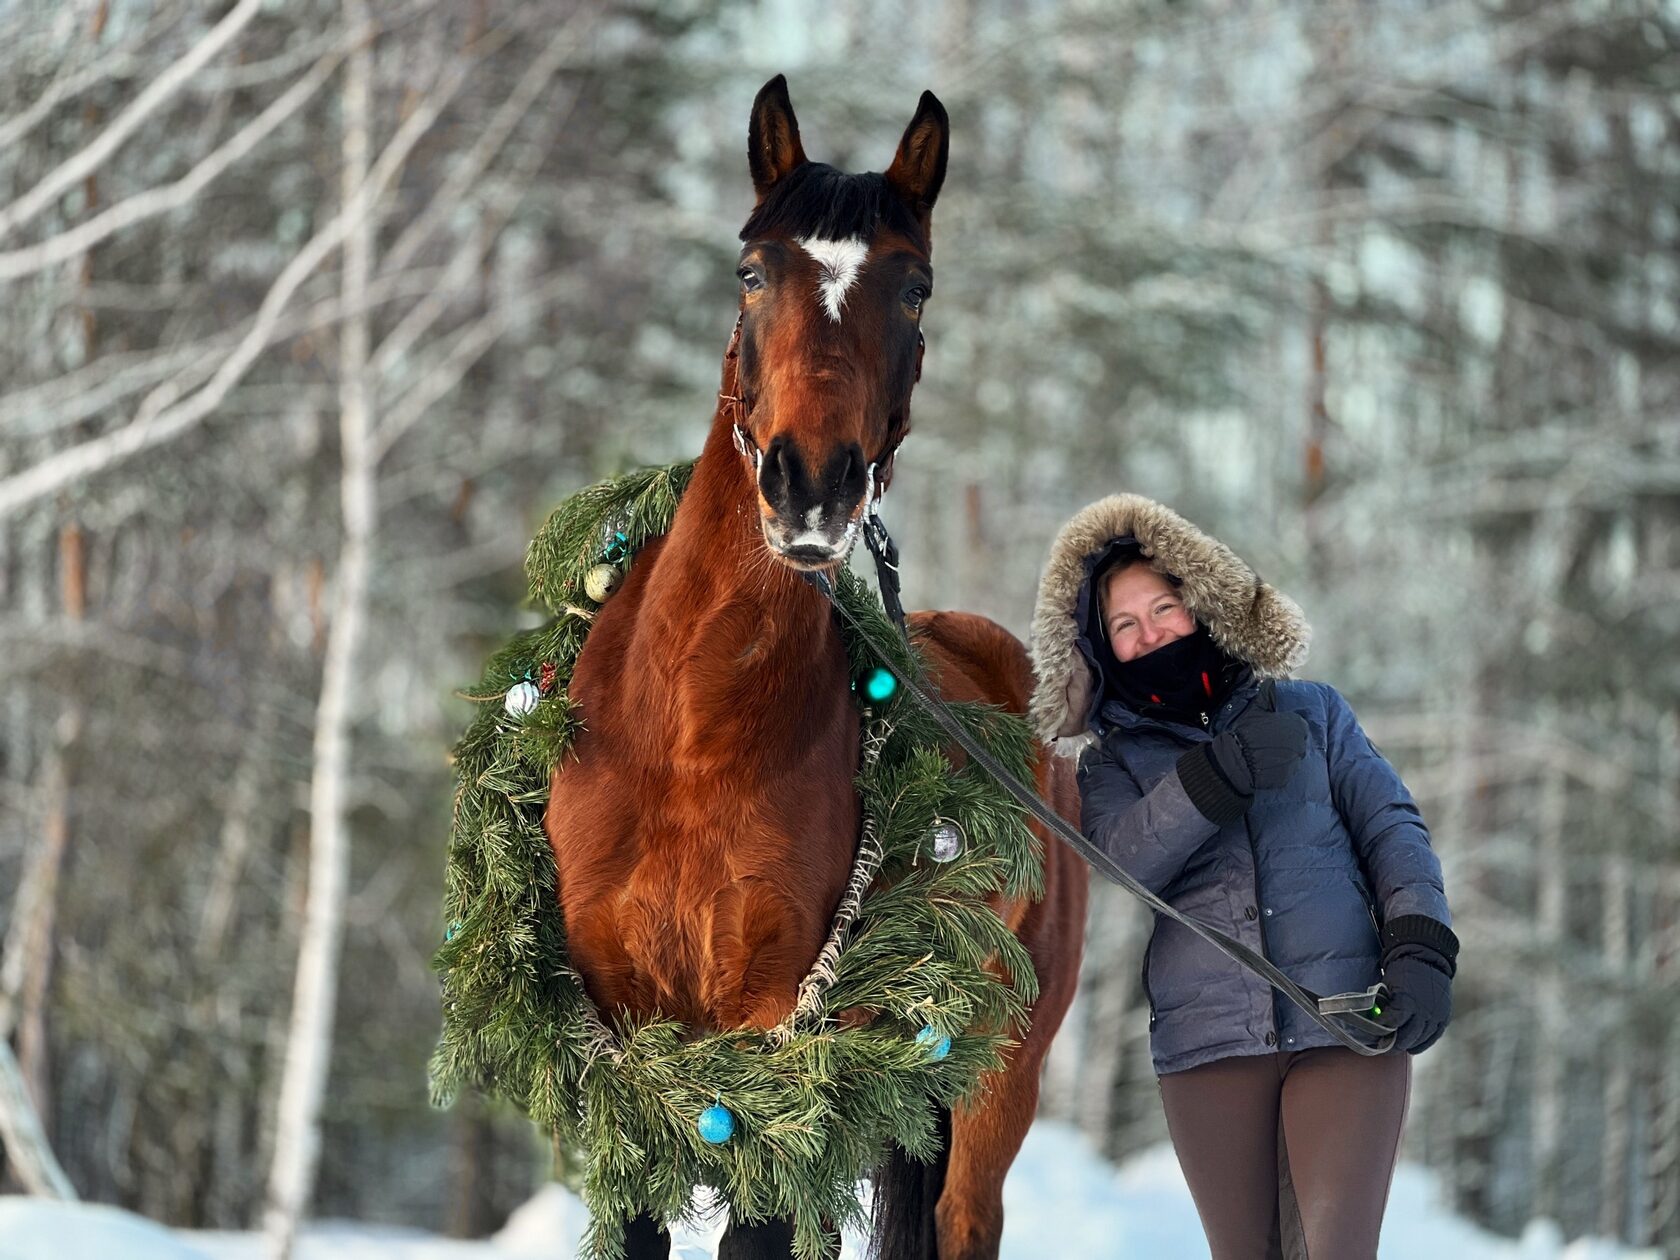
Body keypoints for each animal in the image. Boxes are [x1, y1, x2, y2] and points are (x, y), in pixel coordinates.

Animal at [537, 73, 1088, 1256]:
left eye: (916, 290)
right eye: (752, 271)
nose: (812, 487)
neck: (693, 739)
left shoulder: (774, 1058)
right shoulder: (623, 1043)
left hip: (992, 1081)